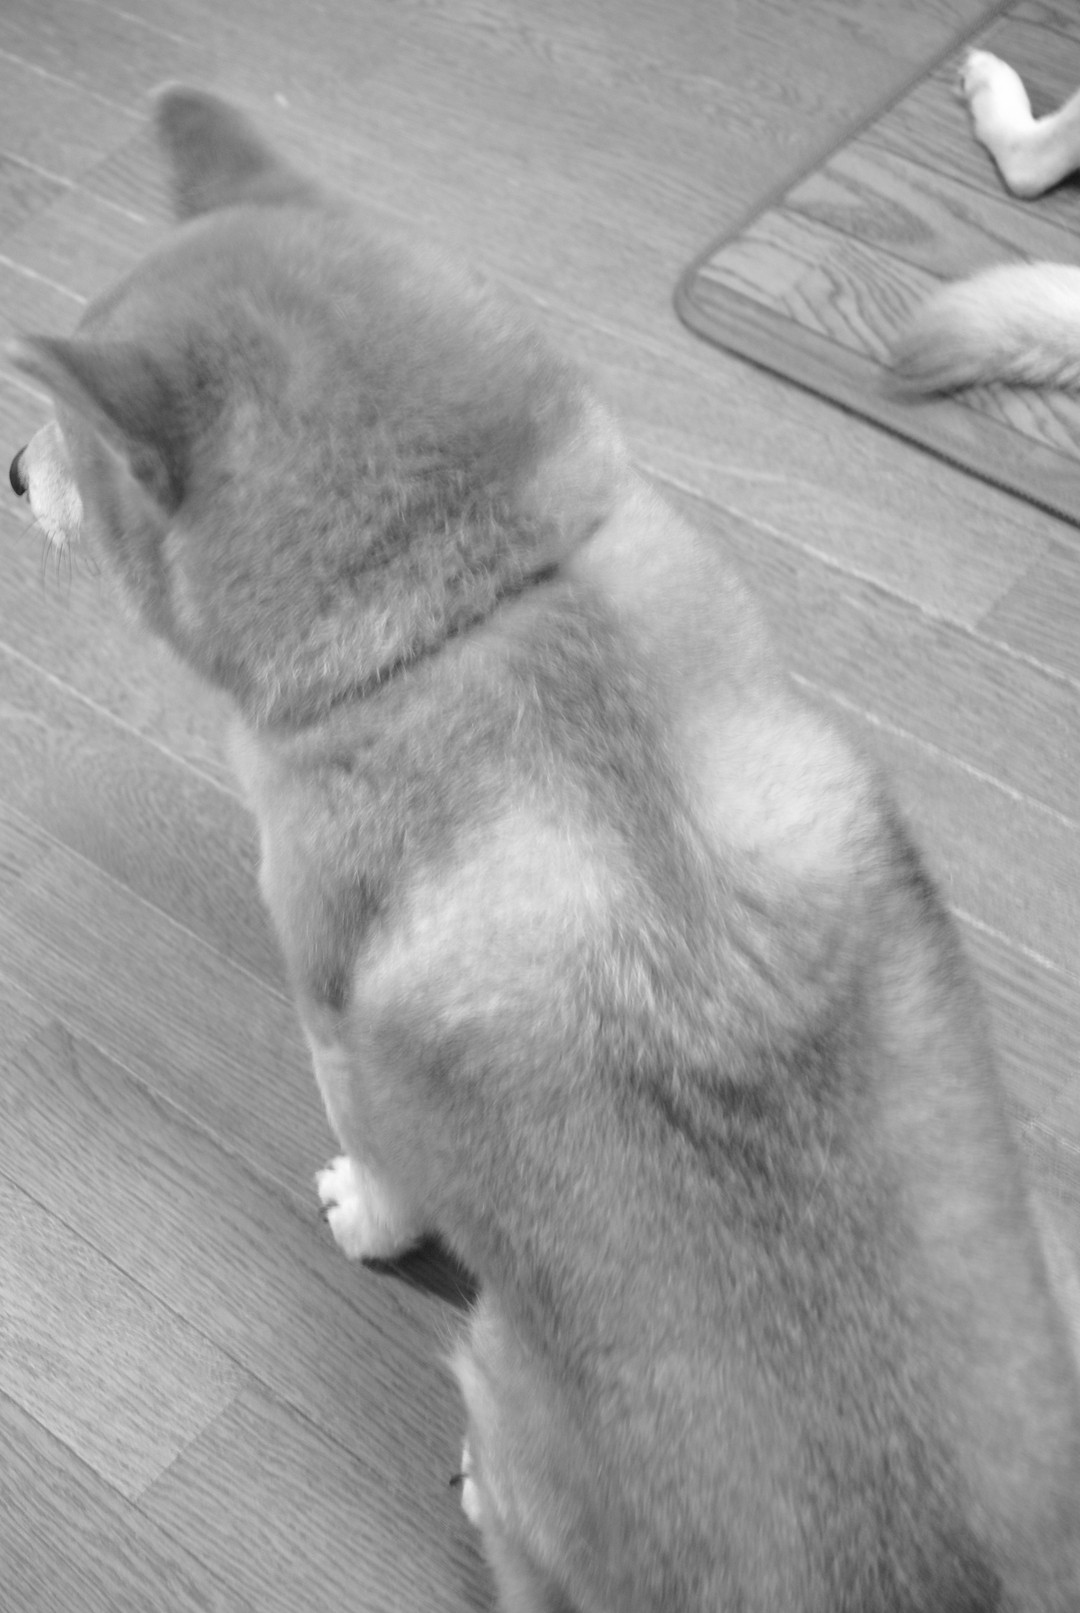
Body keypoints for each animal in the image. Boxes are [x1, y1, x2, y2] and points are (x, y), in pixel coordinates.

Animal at [9, 86, 1080, 1612]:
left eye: (75, 449)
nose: (10, 471)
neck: (483, 601)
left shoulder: (333, 1019)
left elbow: (380, 1164)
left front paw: (360, 1217)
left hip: (495, 1369)